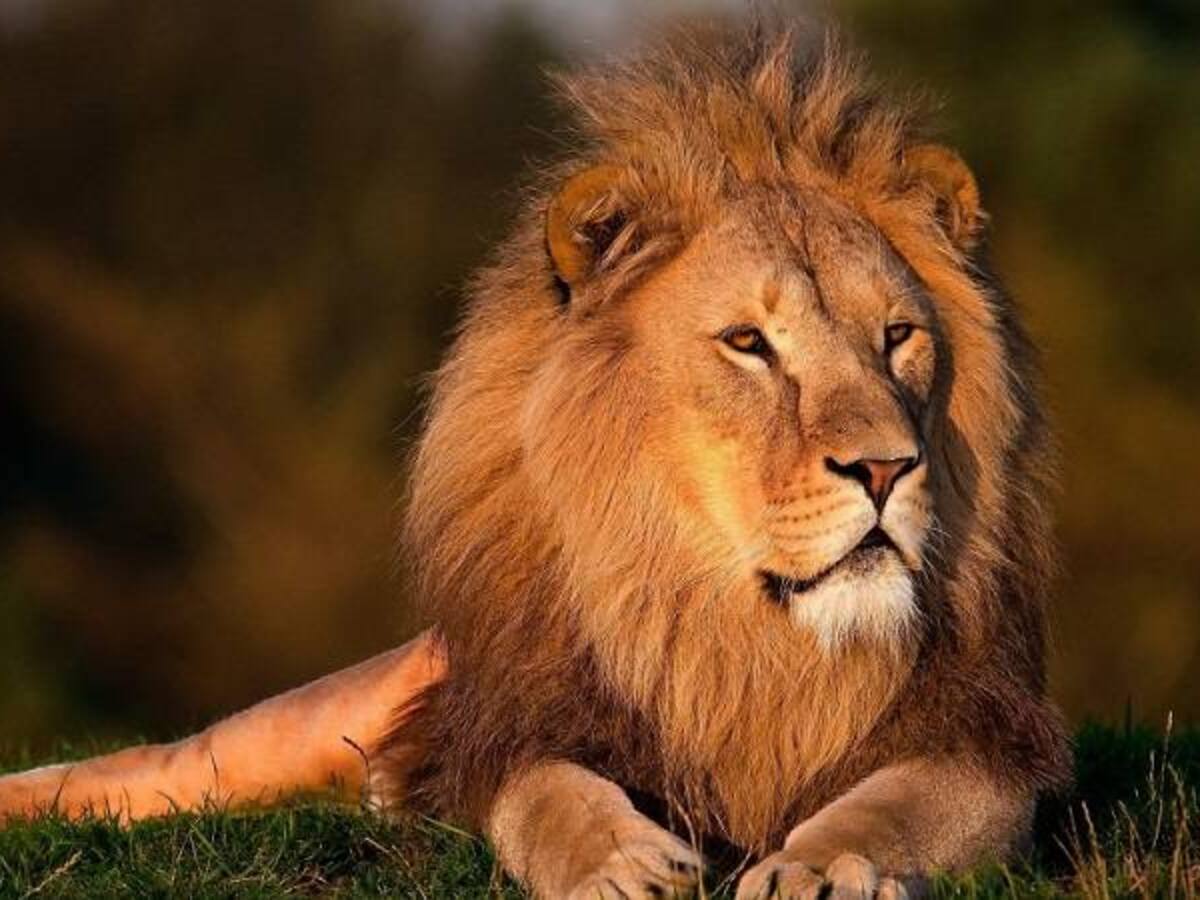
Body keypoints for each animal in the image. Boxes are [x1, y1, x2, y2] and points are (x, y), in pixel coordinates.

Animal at [0, 24, 1069, 899]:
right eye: (748, 344)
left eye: (897, 337)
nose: (886, 469)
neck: (740, 636)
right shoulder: (512, 728)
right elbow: (545, 795)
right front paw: (620, 863)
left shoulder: (985, 744)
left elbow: (900, 805)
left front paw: (824, 865)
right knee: (158, 768)